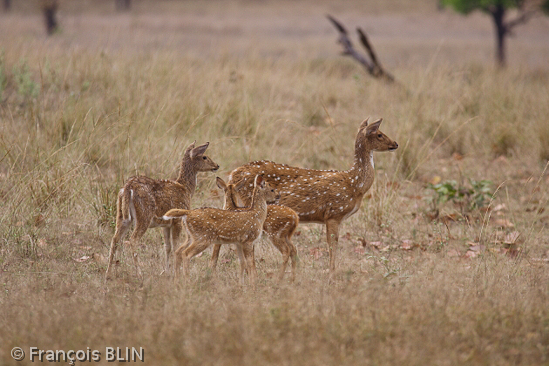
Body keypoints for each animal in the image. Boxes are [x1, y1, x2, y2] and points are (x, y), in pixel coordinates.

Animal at [105, 142, 218, 278]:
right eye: (204, 157)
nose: (216, 166)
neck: (186, 189)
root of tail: (128, 187)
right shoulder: (177, 220)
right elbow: (175, 247)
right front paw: (175, 272)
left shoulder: (166, 224)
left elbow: (167, 247)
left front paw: (166, 271)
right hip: (144, 214)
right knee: (133, 240)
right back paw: (139, 273)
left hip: (122, 215)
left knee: (115, 239)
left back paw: (108, 273)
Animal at [228, 117, 398, 272]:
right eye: (379, 134)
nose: (395, 144)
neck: (355, 184)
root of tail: (233, 174)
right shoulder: (333, 214)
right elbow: (332, 246)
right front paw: (331, 275)